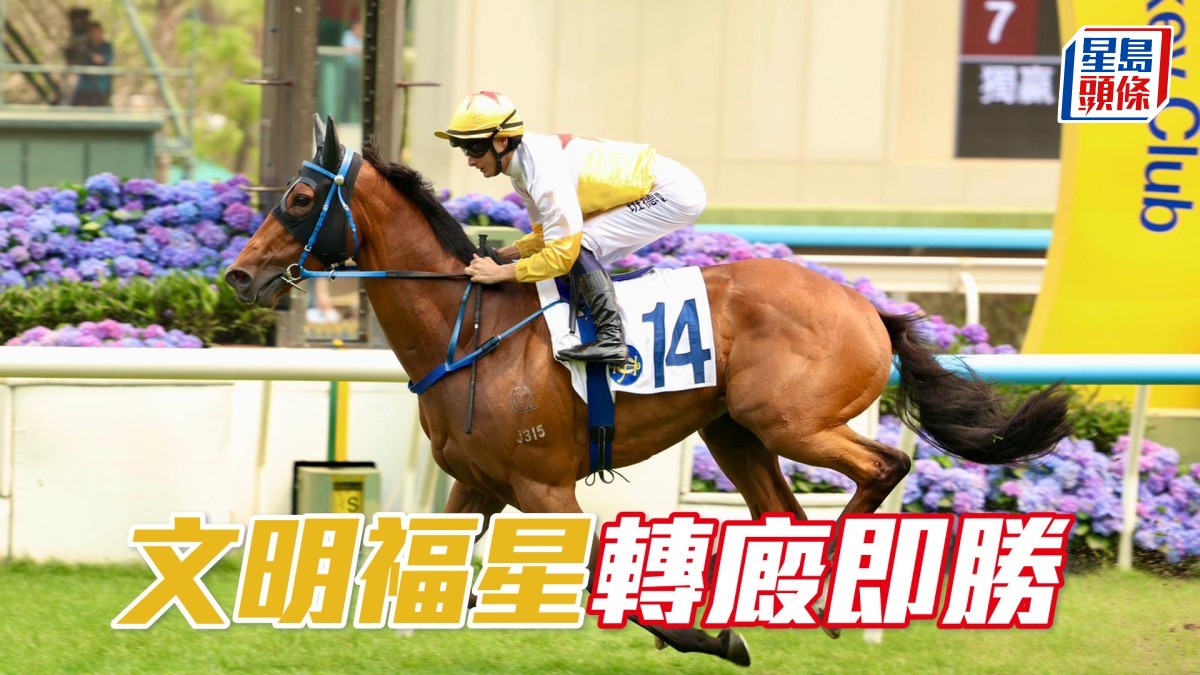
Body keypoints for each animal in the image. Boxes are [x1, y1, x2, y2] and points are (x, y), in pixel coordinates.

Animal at [226, 118, 1072, 666]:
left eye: (299, 199)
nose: (239, 273)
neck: (470, 333)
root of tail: (870, 305)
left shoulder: (543, 488)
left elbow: (604, 577)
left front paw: (709, 637)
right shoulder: (478, 482)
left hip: (791, 421)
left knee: (882, 468)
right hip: (733, 434)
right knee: (785, 515)